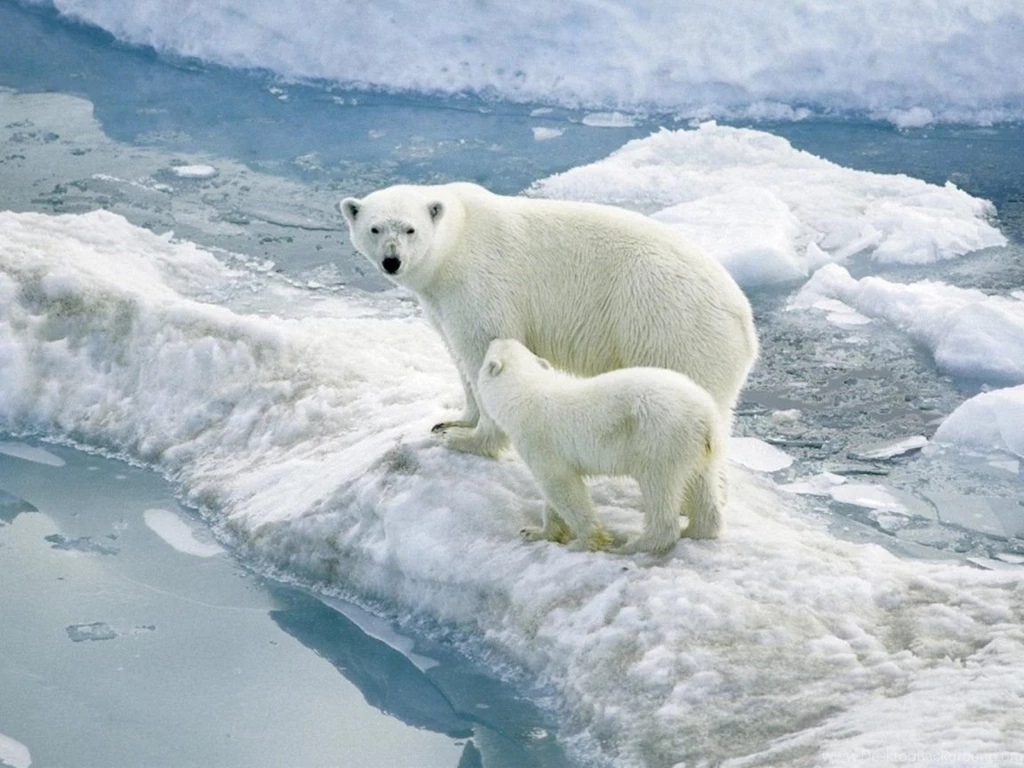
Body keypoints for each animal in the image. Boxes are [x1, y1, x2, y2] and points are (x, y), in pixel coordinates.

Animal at [339, 181, 757, 462]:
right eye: (375, 228)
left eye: (410, 229)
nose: (392, 260)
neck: (455, 242)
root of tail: (746, 325)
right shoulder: (440, 300)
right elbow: (457, 355)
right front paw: (453, 422)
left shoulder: (480, 283)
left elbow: (483, 348)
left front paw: (469, 441)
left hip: (671, 328)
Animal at [477, 339, 726, 553]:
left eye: (491, 349)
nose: (495, 338)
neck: (526, 392)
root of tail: (706, 415)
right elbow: (554, 495)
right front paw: (536, 532)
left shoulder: (540, 440)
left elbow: (562, 486)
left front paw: (584, 542)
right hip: (697, 448)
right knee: (701, 483)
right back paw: (696, 529)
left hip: (659, 438)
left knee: (658, 485)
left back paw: (635, 544)